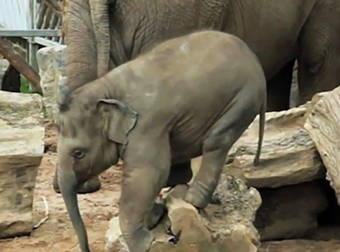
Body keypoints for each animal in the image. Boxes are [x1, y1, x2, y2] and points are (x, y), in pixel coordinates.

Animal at [57, 31, 266, 252]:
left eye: (78, 153)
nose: (87, 248)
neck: (106, 89)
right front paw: (154, 217)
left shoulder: (147, 124)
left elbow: (149, 172)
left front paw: (143, 243)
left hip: (243, 98)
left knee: (216, 141)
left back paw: (192, 199)